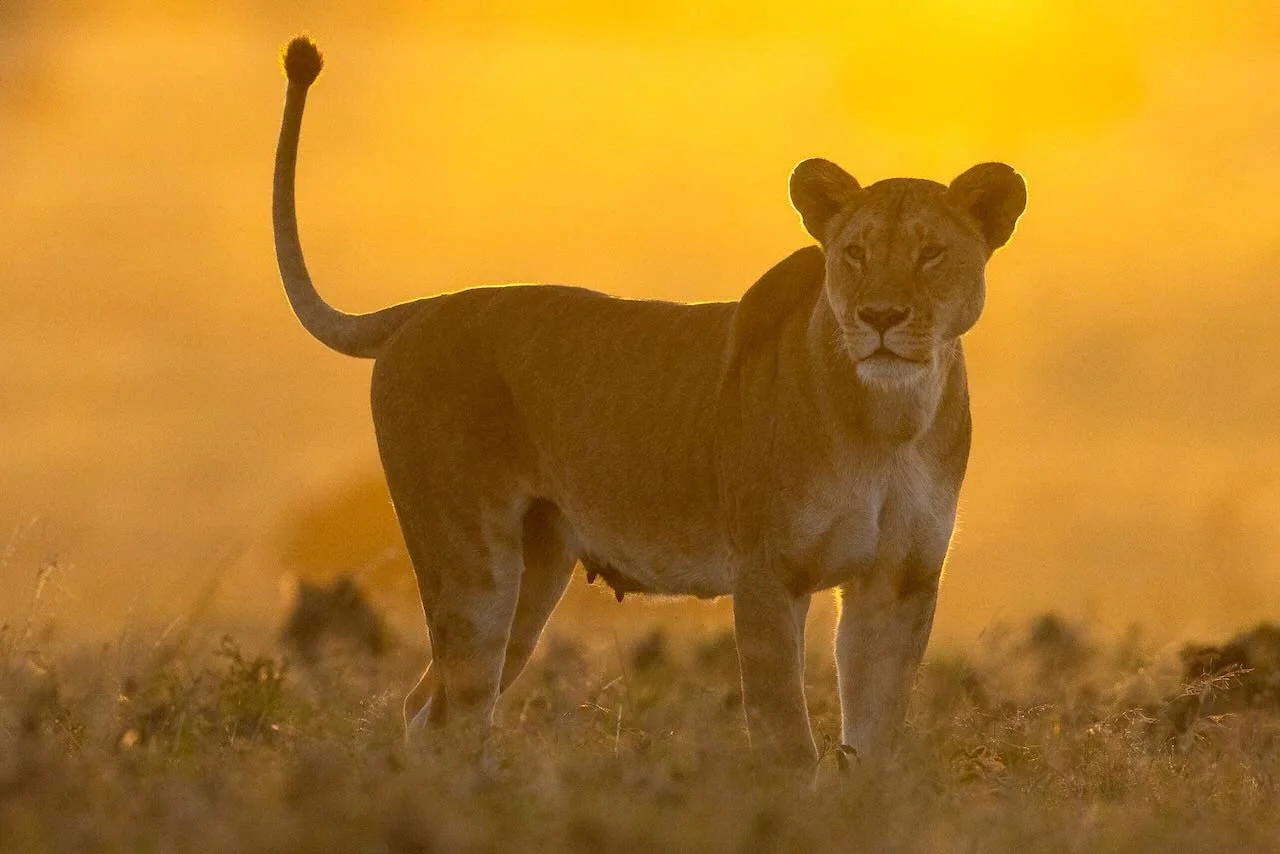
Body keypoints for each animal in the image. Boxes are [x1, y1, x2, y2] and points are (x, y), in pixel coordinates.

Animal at [272, 36, 1026, 766]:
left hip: (536, 569)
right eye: (855, 253)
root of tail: (423, 310)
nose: (880, 316)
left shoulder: (899, 582)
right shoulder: (766, 575)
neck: (890, 419)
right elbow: (786, 736)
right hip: (472, 560)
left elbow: (873, 736)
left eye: (931, 253)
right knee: (455, 709)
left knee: (429, 704)